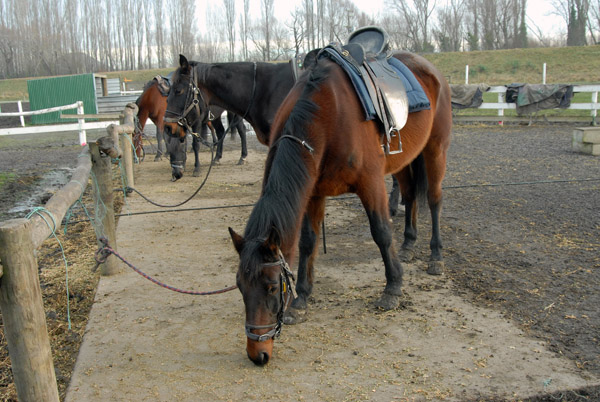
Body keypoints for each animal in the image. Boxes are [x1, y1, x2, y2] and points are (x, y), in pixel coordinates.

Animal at [229, 50, 450, 364]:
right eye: (240, 286)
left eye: (272, 286)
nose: (257, 353)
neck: (326, 114)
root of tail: (429, 67)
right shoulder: (313, 192)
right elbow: (308, 243)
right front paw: (302, 299)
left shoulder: (371, 183)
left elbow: (381, 232)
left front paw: (393, 288)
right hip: (405, 160)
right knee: (410, 195)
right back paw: (408, 244)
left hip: (436, 148)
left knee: (433, 199)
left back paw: (436, 255)